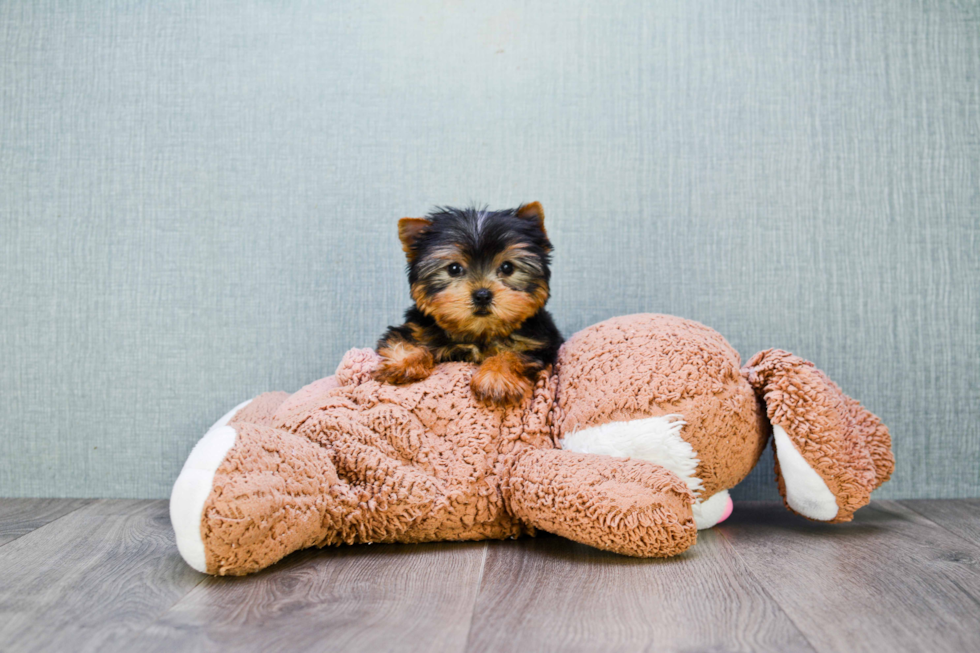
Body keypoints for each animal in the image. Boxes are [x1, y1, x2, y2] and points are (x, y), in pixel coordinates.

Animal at [372, 201, 564, 404]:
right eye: (454, 269)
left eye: (507, 267)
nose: (482, 295)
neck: (479, 332)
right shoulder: (416, 328)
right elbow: (407, 340)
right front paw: (402, 363)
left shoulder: (540, 343)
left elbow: (513, 354)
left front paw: (496, 378)